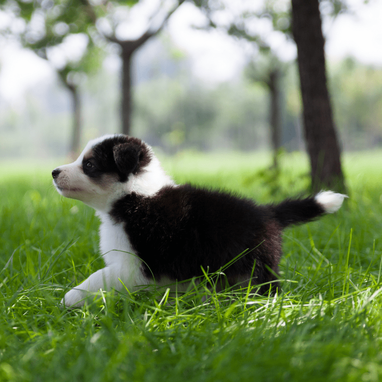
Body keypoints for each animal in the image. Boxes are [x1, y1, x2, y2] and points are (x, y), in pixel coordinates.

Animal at [51, 134, 346, 308]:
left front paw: (69, 299)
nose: (54, 172)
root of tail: (268, 213)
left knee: (267, 287)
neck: (133, 196)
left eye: (89, 165)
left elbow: (96, 278)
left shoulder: (135, 265)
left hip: (257, 265)